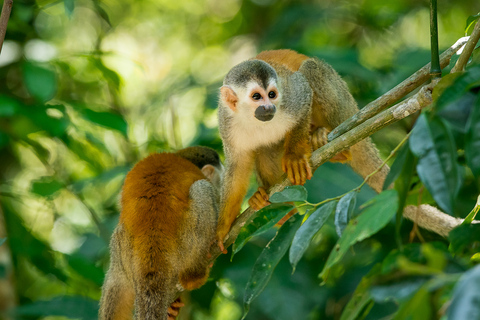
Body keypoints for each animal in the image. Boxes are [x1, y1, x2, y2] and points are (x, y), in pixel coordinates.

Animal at [100, 147, 224, 320]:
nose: (221, 187)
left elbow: (116, 286)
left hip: (122, 249)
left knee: (116, 278)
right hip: (185, 241)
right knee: (202, 189)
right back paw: (194, 276)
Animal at [218, 49, 390, 250]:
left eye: (272, 94)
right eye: (256, 97)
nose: (269, 107)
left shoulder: (291, 97)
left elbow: (304, 95)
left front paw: (294, 157)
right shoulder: (227, 125)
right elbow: (237, 167)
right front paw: (223, 228)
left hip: (345, 106)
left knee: (311, 68)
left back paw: (338, 149)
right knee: (264, 150)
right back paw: (275, 206)